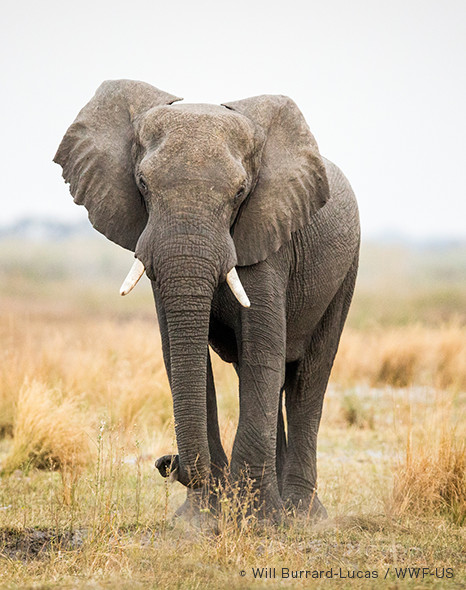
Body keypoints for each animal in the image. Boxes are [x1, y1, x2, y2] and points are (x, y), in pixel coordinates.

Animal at [54, 80, 360, 524]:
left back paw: (301, 516)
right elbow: (184, 356)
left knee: (307, 378)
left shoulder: (268, 235)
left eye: (240, 193)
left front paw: (257, 523)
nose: (167, 462)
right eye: (142, 184)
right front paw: (200, 521)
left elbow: (262, 353)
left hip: (346, 270)